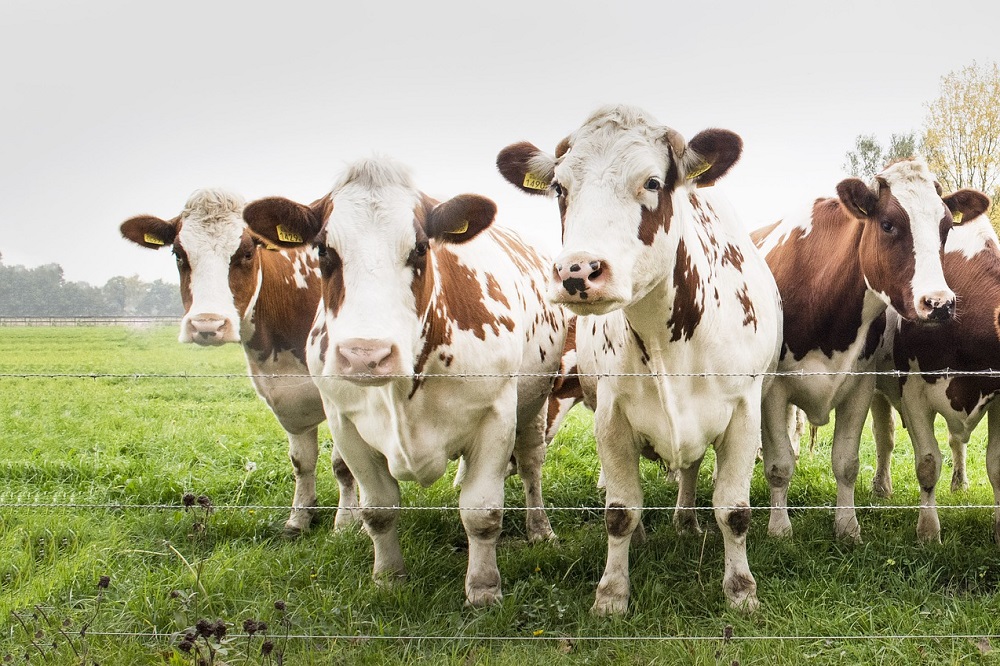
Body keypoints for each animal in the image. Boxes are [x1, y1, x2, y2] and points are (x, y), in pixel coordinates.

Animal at [119, 188, 360, 536]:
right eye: (178, 254)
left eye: (246, 252)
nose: (207, 325)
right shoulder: (286, 395)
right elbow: (301, 461)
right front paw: (299, 519)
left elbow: (343, 465)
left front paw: (346, 524)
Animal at [242, 157, 568, 608]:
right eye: (323, 250)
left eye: (420, 248)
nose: (366, 355)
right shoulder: (345, 424)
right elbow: (378, 509)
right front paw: (387, 577)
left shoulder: (496, 416)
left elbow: (482, 513)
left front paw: (484, 589)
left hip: (534, 404)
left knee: (531, 466)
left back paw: (540, 529)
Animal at [496, 104, 784, 612]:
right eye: (560, 188)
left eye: (651, 182)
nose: (577, 270)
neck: (667, 337)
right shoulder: (611, 414)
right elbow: (619, 510)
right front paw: (612, 593)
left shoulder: (744, 411)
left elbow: (733, 511)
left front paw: (741, 589)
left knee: (690, 470)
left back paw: (686, 521)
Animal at [752, 160, 988, 540]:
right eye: (888, 224)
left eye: (946, 227)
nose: (939, 303)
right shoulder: (774, 391)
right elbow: (779, 464)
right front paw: (779, 528)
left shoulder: (860, 386)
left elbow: (846, 462)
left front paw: (848, 528)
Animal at [868, 200, 1000, 544]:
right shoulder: (914, 391)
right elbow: (927, 462)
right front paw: (928, 532)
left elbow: (996, 464)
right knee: (884, 436)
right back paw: (881, 486)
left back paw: (959, 483)